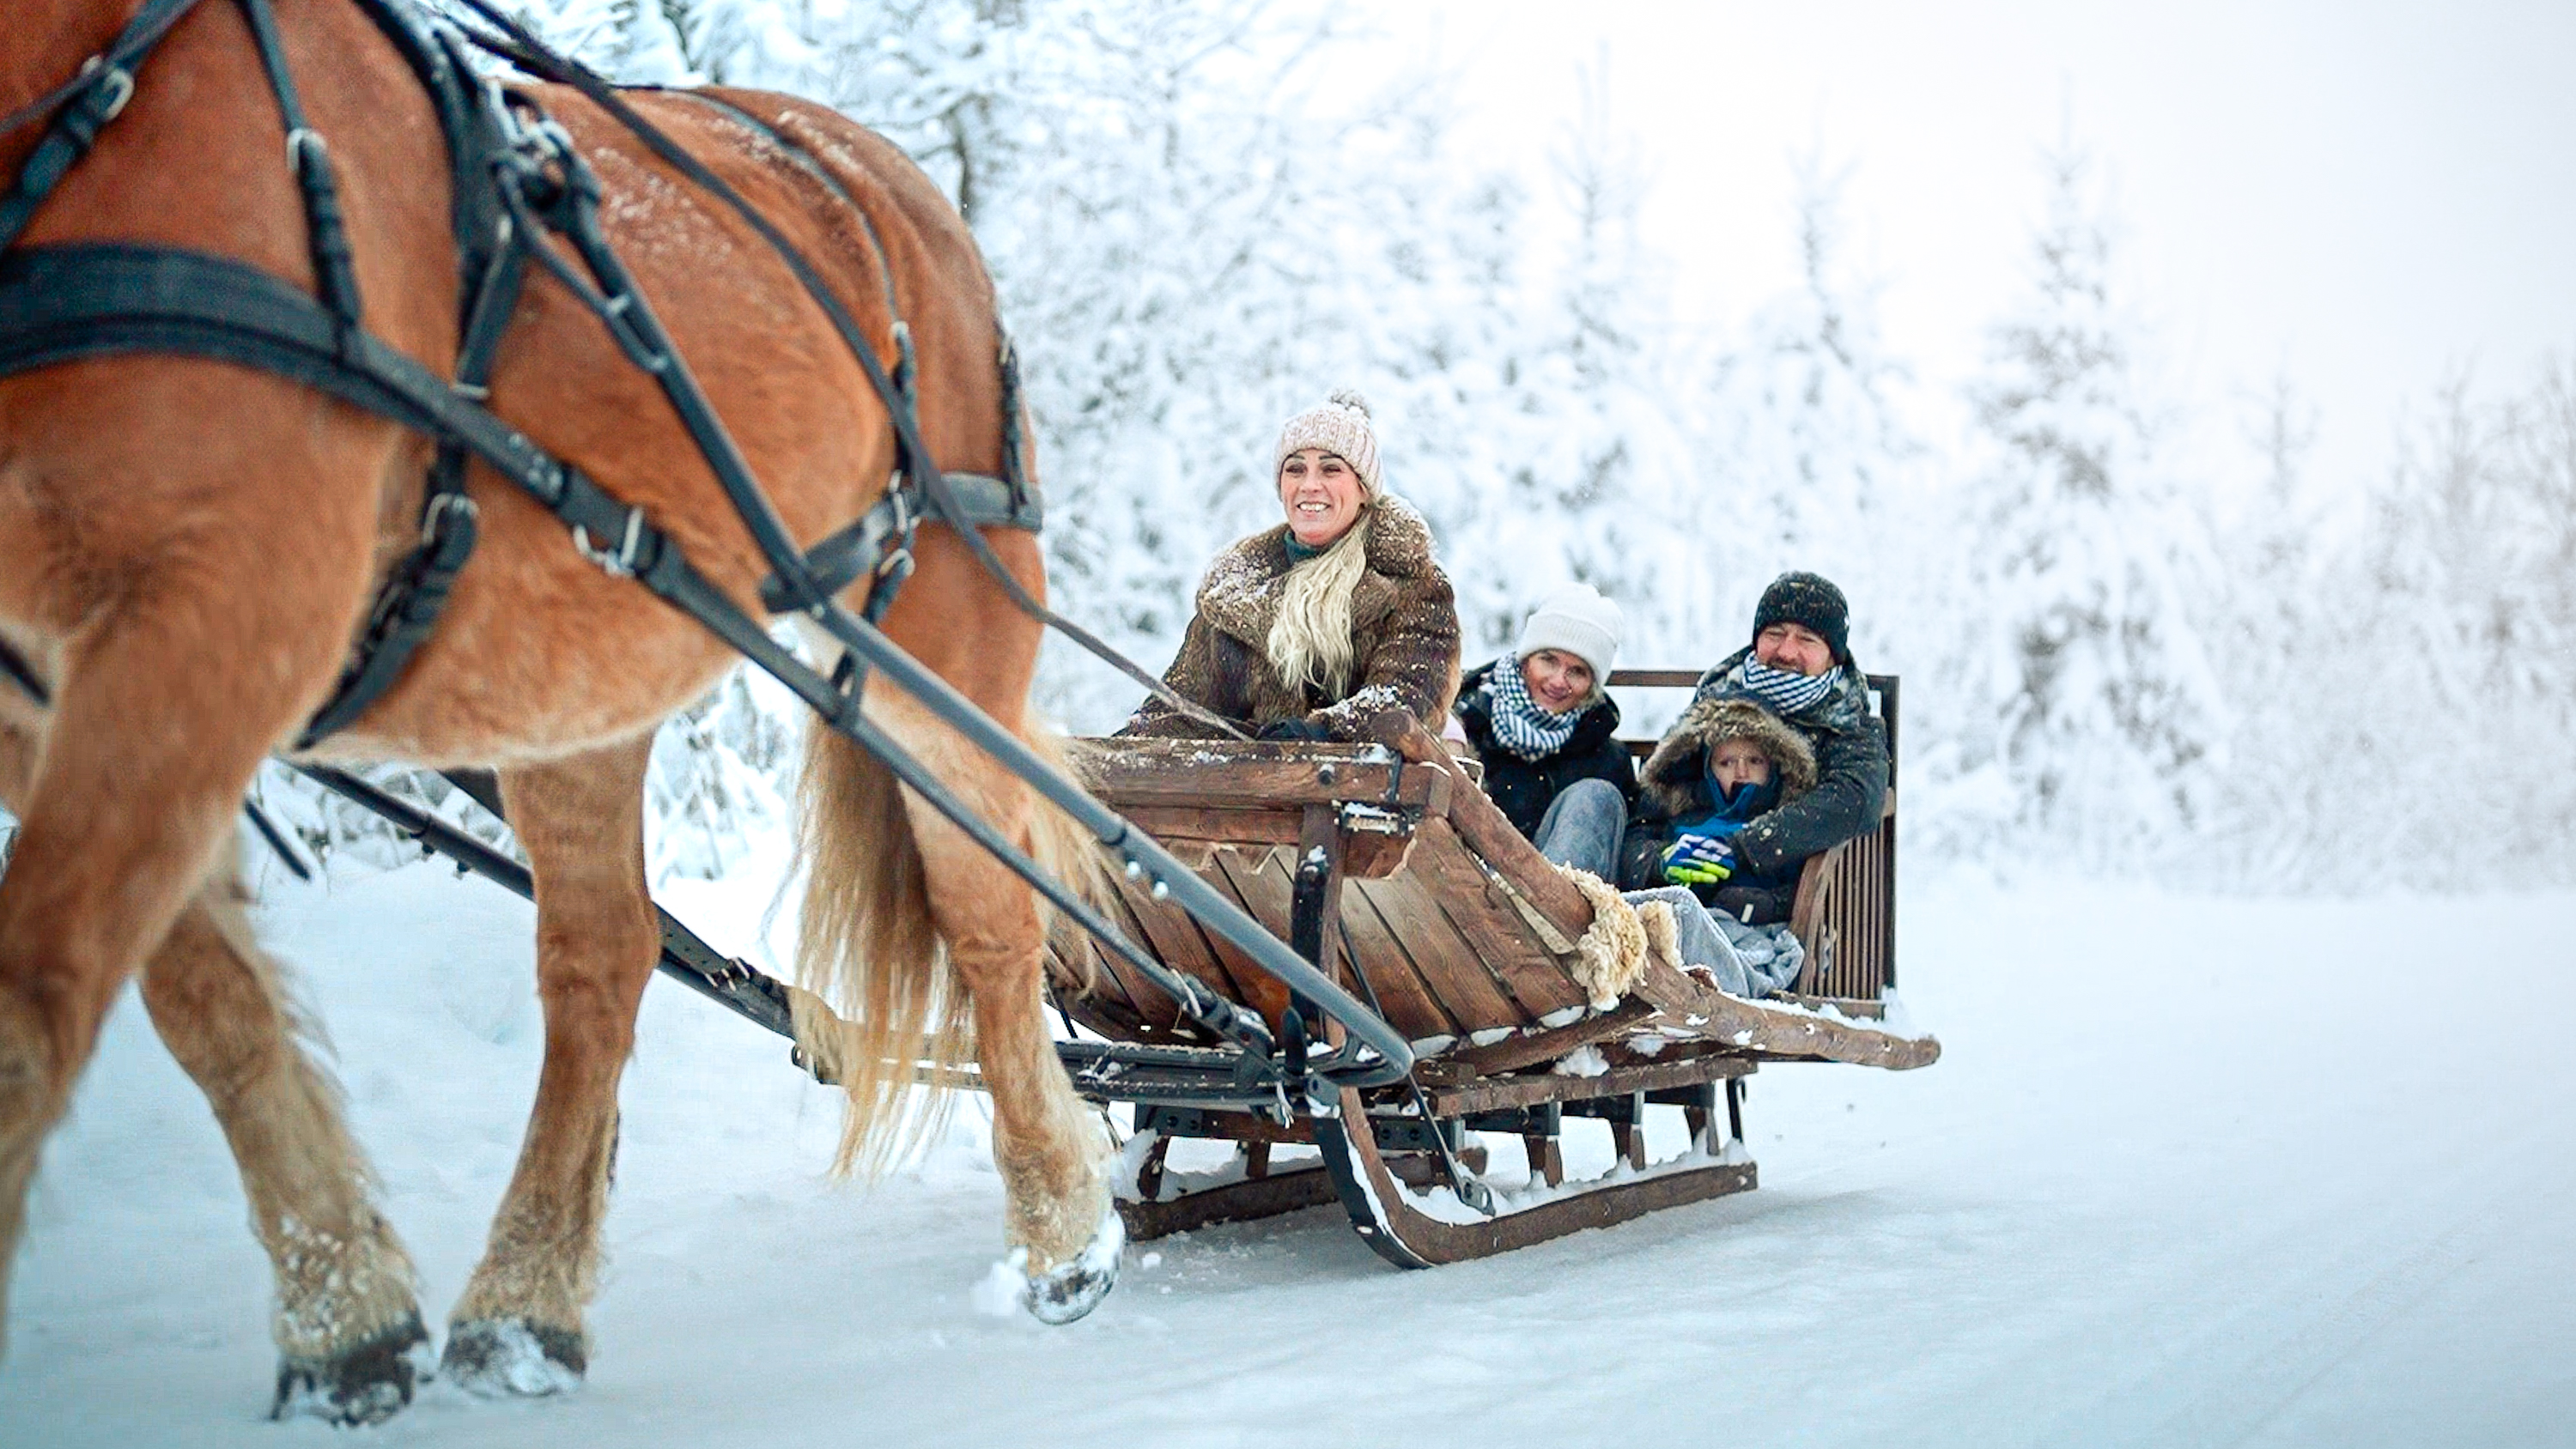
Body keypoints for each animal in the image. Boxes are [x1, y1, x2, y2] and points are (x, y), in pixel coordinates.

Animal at [0, 0, 1113, 1431]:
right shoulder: (53, 684)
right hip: (580, 679)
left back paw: (1062, 1227)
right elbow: (200, 996)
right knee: (603, 958)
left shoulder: (214, 614)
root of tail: (887, 175)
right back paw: (527, 1302)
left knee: (990, 924)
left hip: (950, 636)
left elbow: (38, 1010)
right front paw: (345, 1317)